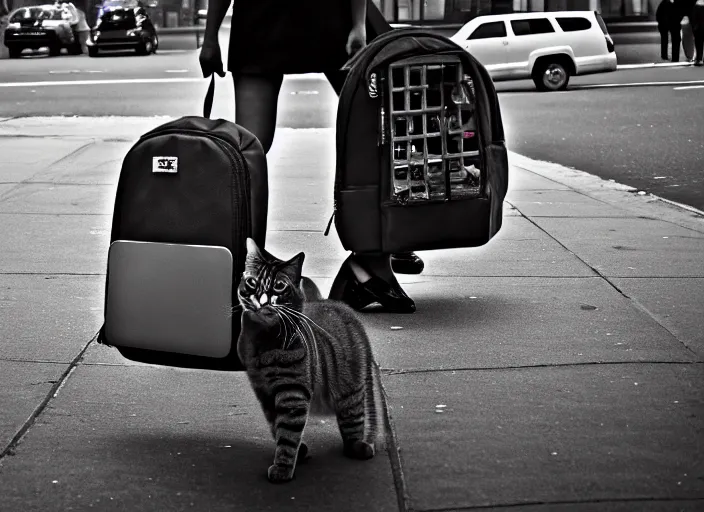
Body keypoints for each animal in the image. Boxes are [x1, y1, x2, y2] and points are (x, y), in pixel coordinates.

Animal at [236, 238, 382, 482]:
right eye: (252, 282)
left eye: (279, 286)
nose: (262, 300)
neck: (263, 339)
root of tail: (338, 305)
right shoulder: (265, 393)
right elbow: (277, 427)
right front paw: (296, 453)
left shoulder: (292, 393)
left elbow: (287, 435)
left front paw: (283, 467)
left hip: (349, 393)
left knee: (353, 422)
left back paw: (357, 447)